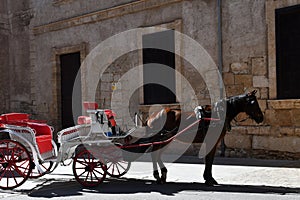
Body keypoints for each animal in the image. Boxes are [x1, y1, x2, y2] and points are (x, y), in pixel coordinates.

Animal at [119, 90, 262, 185]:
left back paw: (161, 175)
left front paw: (207, 178)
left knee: (156, 155)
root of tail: (152, 116)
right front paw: (209, 179)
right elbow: (209, 160)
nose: (261, 118)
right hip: (162, 139)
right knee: (155, 155)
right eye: (253, 102)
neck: (218, 114)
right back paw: (159, 175)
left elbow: (208, 160)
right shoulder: (212, 141)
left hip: (164, 139)